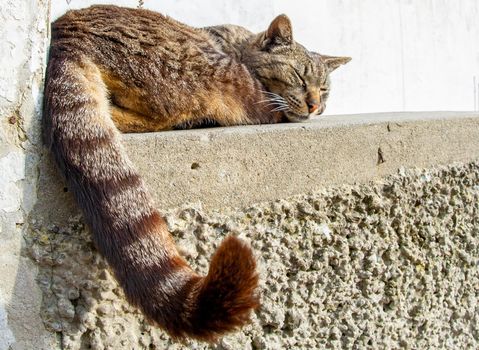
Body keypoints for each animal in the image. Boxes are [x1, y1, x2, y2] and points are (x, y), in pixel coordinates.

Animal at [43, 4, 350, 340]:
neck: (238, 43)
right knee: (166, 114)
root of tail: (68, 37)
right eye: (298, 75)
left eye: (324, 90)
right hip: (228, 79)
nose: (315, 105)